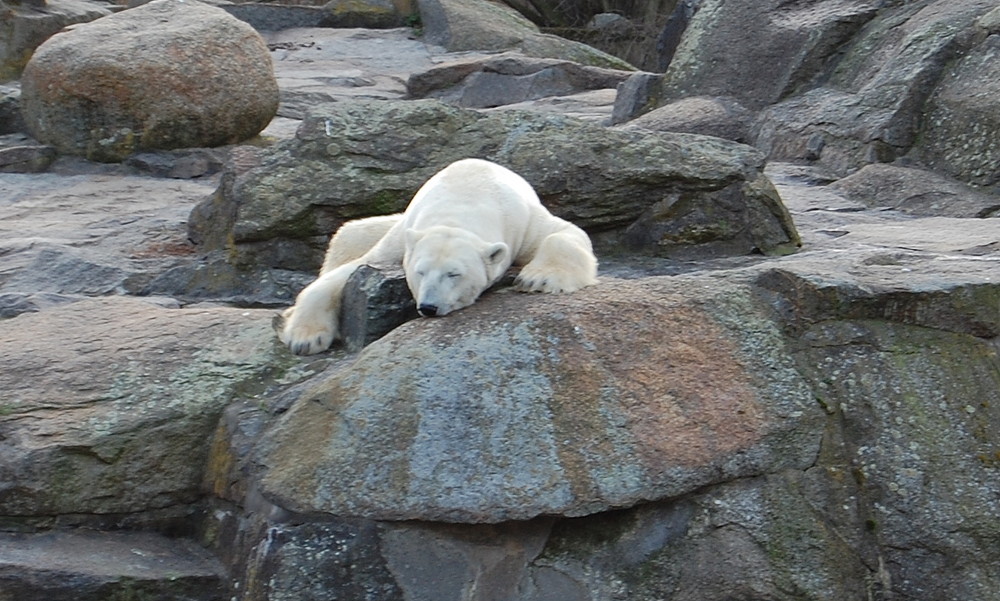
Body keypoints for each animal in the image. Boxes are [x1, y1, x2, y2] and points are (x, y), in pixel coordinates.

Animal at [278, 157, 596, 354]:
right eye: (419, 272)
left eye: (454, 274)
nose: (429, 307)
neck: (465, 197)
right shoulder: (404, 237)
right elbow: (349, 271)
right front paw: (305, 339)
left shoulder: (522, 221)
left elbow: (564, 233)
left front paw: (538, 279)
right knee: (348, 236)